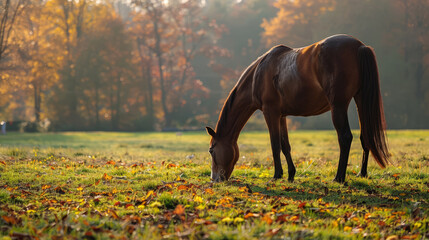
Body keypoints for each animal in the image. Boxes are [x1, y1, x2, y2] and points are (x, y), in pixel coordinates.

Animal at [206, 34, 390, 183]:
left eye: (211, 150)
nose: (215, 179)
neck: (258, 74)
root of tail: (359, 46)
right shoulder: (281, 116)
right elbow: (285, 145)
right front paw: (291, 175)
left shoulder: (270, 112)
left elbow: (275, 145)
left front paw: (277, 175)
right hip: (360, 100)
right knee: (365, 136)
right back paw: (362, 173)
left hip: (338, 106)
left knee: (345, 138)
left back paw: (339, 177)